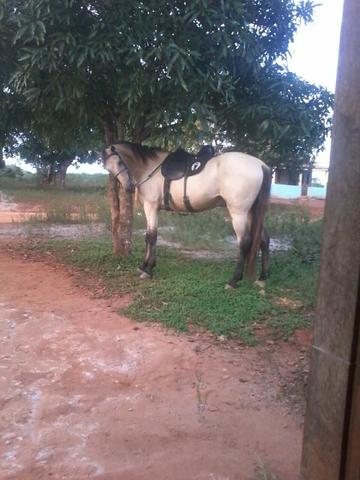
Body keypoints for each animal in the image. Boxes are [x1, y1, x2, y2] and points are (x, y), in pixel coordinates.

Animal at [102, 141, 270, 286]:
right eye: (109, 169)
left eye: (119, 163)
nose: (128, 187)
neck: (149, 168)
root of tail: (261, 165)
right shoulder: (155, 209)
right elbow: (149, 236)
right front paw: (144, 266)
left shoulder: (151, 207)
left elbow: (151, 237)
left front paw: (148, 269)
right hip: (251, 212)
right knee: (263, 240)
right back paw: (262, 278)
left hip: (239, 213)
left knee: (244, 242)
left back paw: (234, 280)